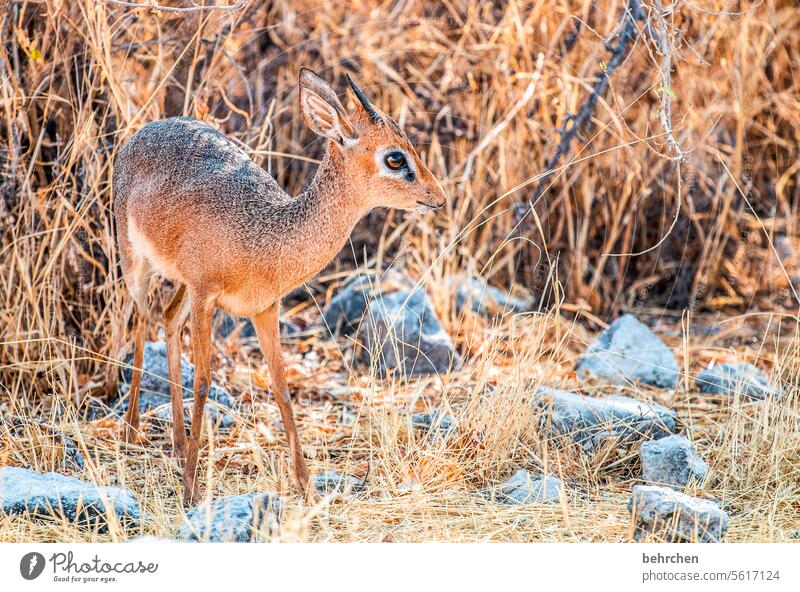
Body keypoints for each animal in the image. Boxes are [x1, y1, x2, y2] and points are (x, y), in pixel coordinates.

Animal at [114, 69, 450, 504]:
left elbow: (282, 388)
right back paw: (131, 431)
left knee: (168, 320)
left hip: (183, 287)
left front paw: (306, 488)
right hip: (136, 264)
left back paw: (176, 445)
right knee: (140, 322)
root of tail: (147, 129)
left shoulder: (263, 308)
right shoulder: (206, 297)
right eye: (395, 157)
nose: (437, 197)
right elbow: (203, 382)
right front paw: (190, 491)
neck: (266, 235)